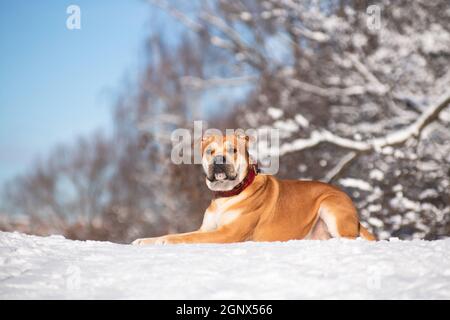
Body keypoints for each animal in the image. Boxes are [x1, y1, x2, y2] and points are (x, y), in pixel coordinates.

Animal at [132, 131, 374, 244]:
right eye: (210, 151)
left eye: (233, 150)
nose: (218, 160)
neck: (227, 195)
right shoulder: (206, 229)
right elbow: (185, 233)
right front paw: (145, 240)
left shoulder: (227, 233)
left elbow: (186, 238)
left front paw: (164, 241)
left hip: (329, 206)